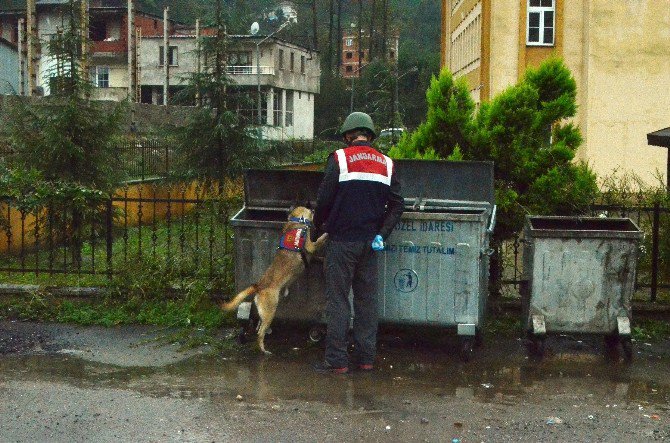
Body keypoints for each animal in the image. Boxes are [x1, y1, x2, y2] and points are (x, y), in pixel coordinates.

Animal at [222, 206, 330, 356]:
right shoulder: (310, 245)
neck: (296, 222)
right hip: (270, 312)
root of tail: (259, 286)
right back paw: (264, 350)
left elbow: (316, 256)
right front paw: (325, 235)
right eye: (310, 211)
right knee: (259, 334)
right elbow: (318, 241)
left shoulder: (311, 254)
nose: (314, 210)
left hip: (264, 313)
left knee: (259, 327)